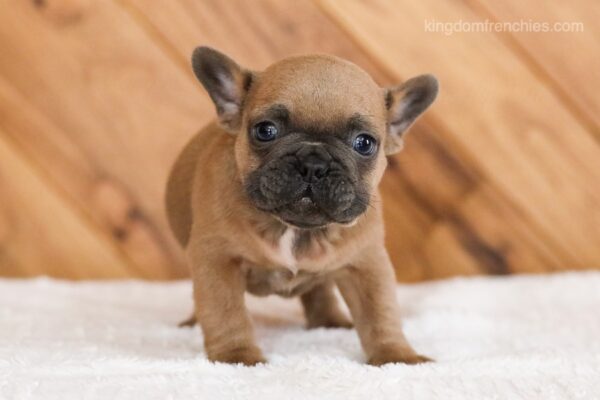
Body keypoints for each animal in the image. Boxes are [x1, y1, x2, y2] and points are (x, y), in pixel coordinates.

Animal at [166, 47, 438, 366]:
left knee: (320, 289)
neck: (295, 230)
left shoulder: (367, 264)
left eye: (364, 143)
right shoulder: (216, 259)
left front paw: (397, 357)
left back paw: (329, 321)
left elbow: (380, 312)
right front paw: (237, 357)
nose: (313, 163)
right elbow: (224, 311)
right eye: (265, 130)